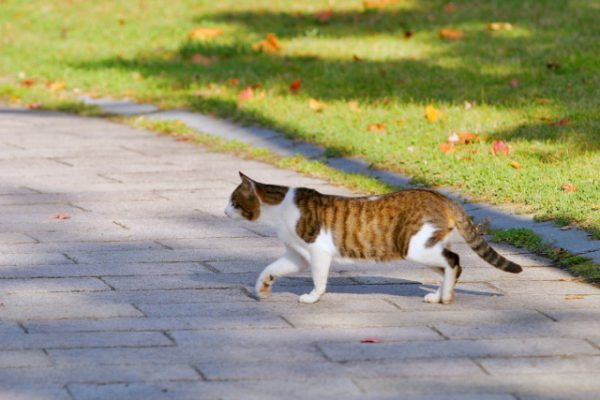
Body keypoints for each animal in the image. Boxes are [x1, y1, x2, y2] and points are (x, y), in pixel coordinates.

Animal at [225, 170, 520, 304]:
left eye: (234, 202)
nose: (224, 211)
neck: (280, 208)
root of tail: (440, 196)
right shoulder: (297, 255)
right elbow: (271, 268)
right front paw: (263, 286)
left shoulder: (318, 251)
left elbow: (319, 279)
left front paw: (313, 297)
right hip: (428, 246)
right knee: (451, 265)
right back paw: (439, 295)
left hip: (414, 246)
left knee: (454, 261)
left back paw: (445, 296)